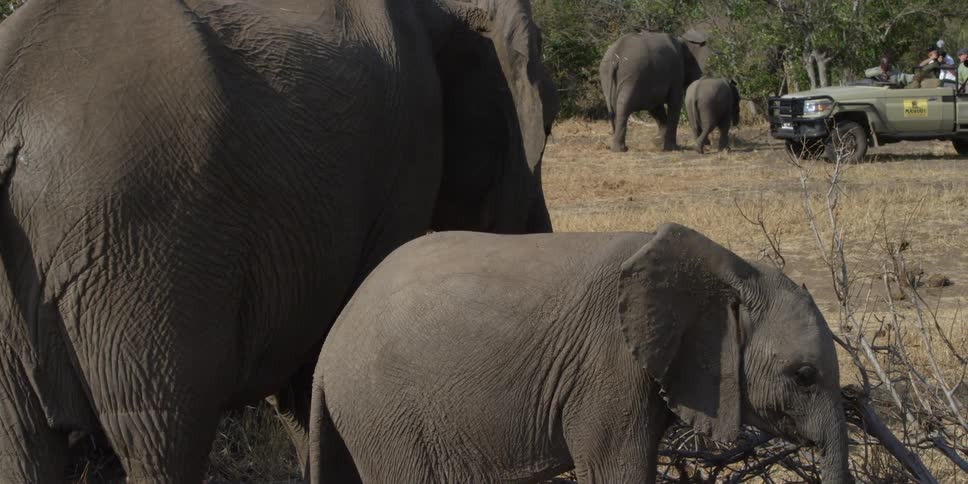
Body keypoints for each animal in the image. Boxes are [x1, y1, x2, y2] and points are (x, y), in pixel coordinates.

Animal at [310, 223, 852, 483]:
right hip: (386, 416)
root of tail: (326, 351)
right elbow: (618, 473)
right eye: (804, 376)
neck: (730, 266)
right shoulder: (607, 368)